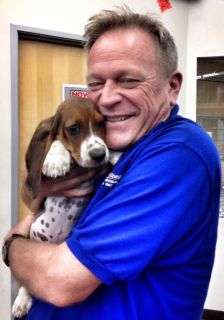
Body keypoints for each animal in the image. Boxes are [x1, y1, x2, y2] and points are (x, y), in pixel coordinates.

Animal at [11, 97, 115, 318]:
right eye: (73, 128)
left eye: (102, 123)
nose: (98, 155)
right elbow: (56, 140)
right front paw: (56, 160)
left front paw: (115, 154)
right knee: (26, 285)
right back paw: (22, 301)